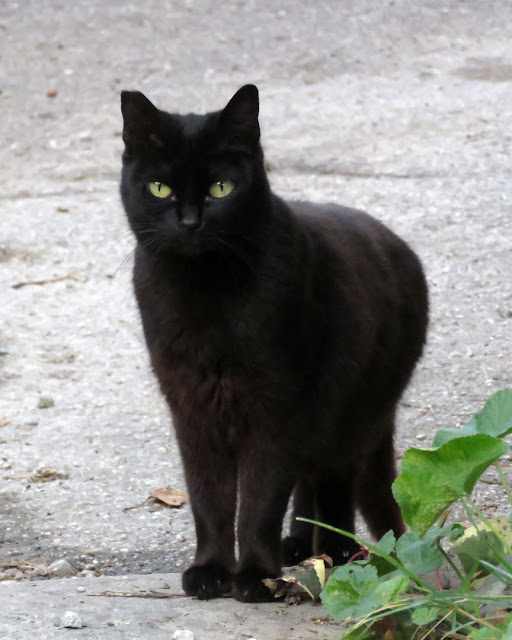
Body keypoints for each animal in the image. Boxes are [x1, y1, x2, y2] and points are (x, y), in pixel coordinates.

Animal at [120, 84, 428, 600]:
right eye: (159, 188)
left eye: (220, 188)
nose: (189, 222)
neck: (205, 293)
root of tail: (396, 243)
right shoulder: (192, 407)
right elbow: (209, 499)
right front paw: (210, 570)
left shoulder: (276, 406)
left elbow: (259, 502)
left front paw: (254, 576)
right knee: (309, 481)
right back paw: (303, 545)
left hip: (351, 411)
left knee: (335, 484)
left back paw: (339, 553)